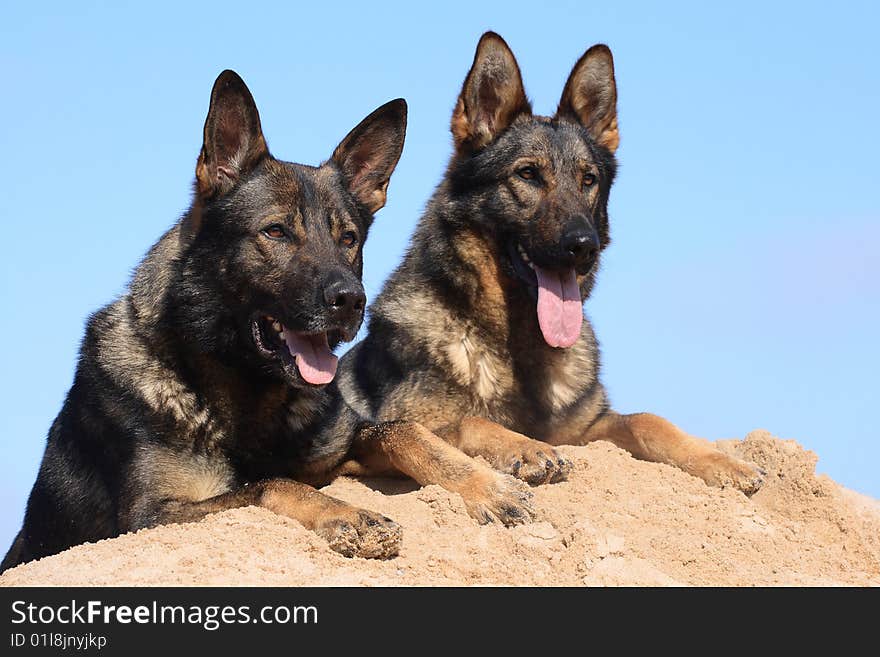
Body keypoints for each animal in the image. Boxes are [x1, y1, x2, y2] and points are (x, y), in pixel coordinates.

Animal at [1, 70, 536, 568]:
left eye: (348, 239)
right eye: (275, 232)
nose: (352, 300)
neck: (242, 389)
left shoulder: (334, 457)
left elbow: (404, 428)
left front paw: (493, 479)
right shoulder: (152, 515)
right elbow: (267, 484)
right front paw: (347, 513)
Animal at [340, 30, 768, 492]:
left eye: (588, 180)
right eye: (527, 174)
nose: (584, 246)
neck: (513, 346)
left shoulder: (586, 429)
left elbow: (648, 420)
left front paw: (722, 461)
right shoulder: (398, 427)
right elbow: (470, 422)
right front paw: (526, 447)